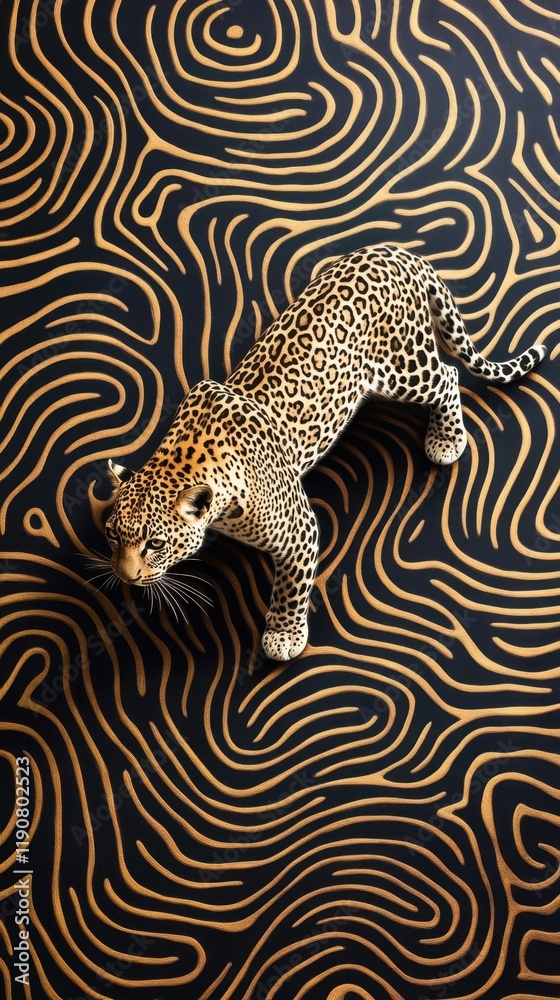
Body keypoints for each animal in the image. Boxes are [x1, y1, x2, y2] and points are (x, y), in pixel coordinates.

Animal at [105, 243, 547, 661]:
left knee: (449, 375)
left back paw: (447, 439)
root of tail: (398, 253)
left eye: (155, 544)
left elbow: (291, 587)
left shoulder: (299, 530)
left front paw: (283, 635)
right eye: (112, 535)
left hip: (404, 368)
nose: (125, 578)